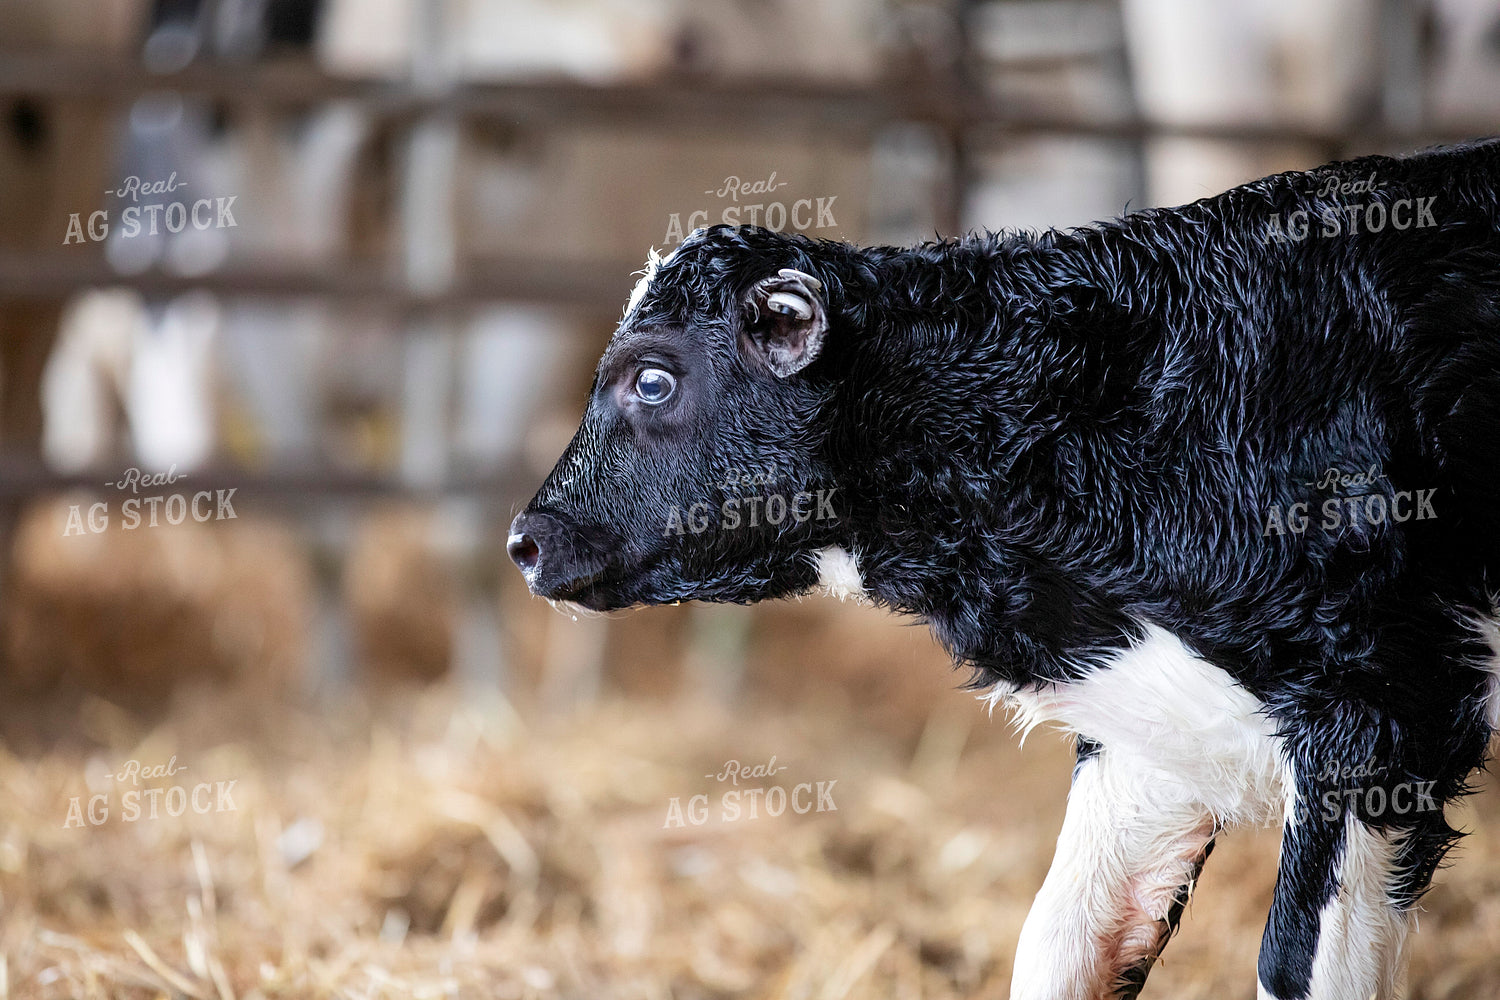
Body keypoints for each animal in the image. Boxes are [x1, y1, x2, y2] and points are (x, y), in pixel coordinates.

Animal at [508, 138, 1500, 999]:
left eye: (651, 379)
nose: (526, 540)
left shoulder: (1379, 716)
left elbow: (1298, 962)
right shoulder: (1153, 729)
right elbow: (1063, 941)